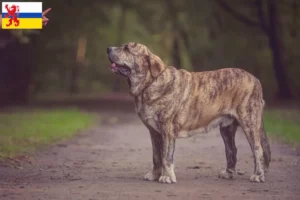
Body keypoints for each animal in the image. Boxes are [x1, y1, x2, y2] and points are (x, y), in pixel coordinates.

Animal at [106, 43, 270, 184]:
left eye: (127, 48)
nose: (108, 49)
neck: (149, 83)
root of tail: (256, 80)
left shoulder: (167, 130)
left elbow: (166, 156)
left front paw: (167, 177)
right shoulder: (154, 132)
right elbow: (156, 156)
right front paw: (154, 175)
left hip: (249, 122)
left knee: (258, 150)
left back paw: (258, 175)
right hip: (227, 128)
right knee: (232, 150)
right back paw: (228, 173)